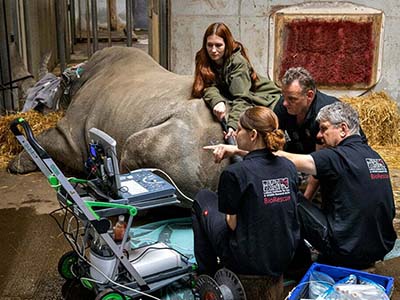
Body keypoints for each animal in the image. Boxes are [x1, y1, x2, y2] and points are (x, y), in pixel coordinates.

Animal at [8, 47, 228, 206]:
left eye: (43, 99)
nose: (36, 109)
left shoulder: (71, 138)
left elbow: (46, 139)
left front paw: (14, 166)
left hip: (186, 145)